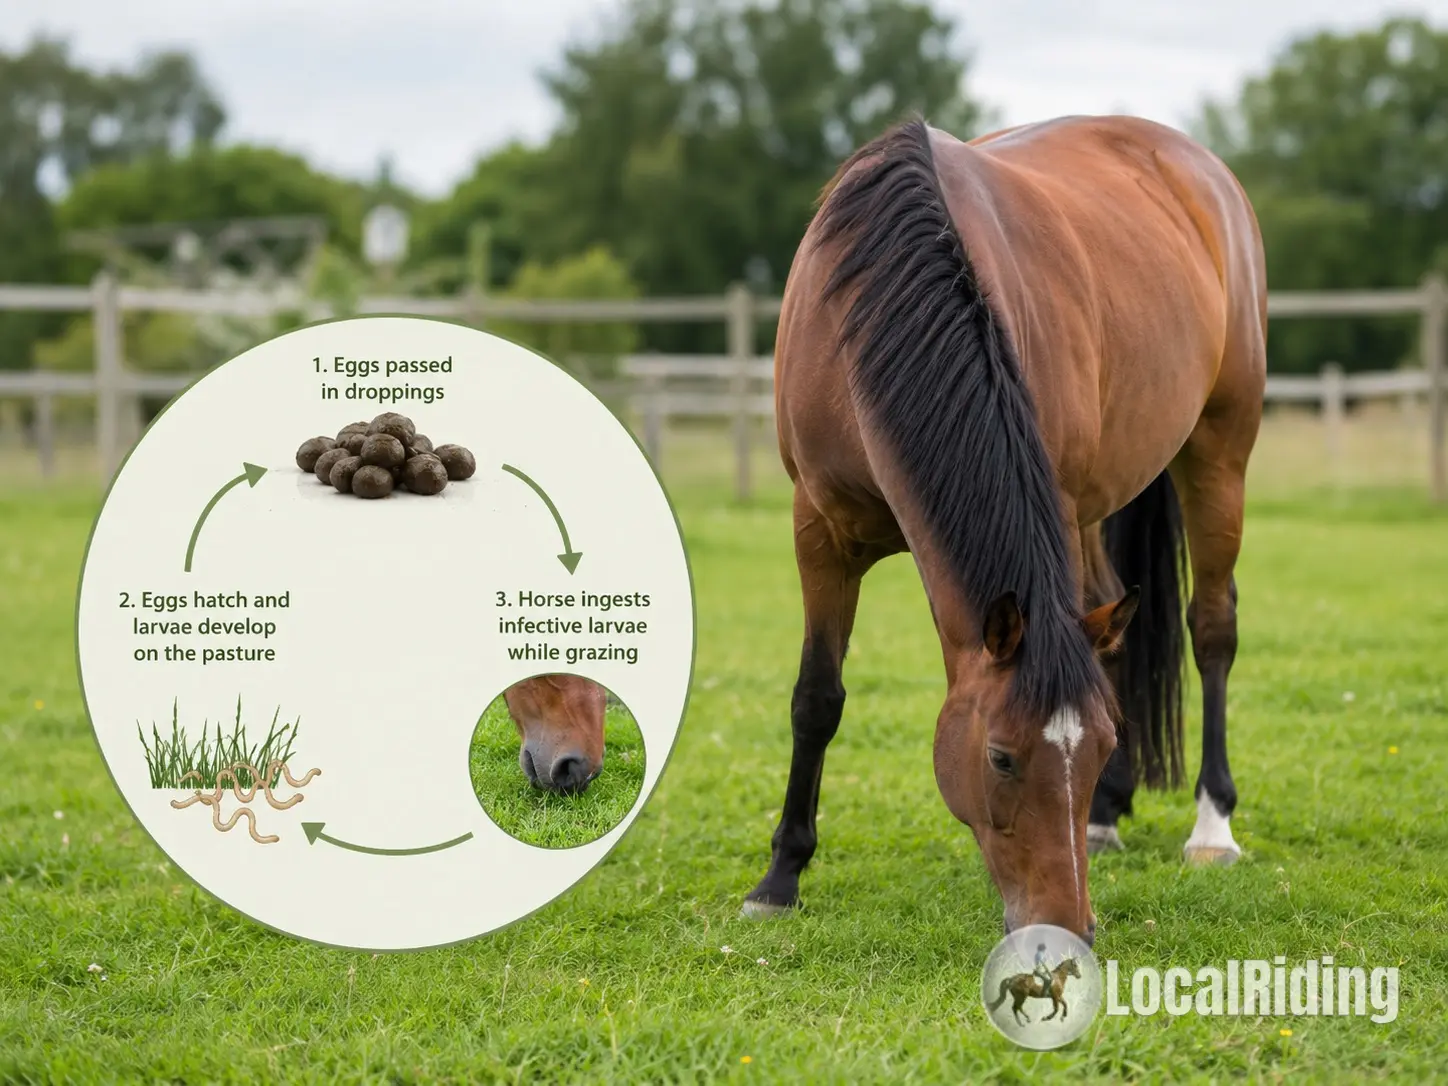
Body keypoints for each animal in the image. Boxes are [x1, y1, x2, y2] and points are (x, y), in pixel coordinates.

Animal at [742, 115, 1266, 941]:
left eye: (1096, 747)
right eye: (1000, 758)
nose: (1067, 926)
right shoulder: (819, 530)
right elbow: (816, 698)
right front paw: (780, 878)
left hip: (1217, 450)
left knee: (1212, 627)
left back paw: (1212, 826)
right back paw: (1109, 817)